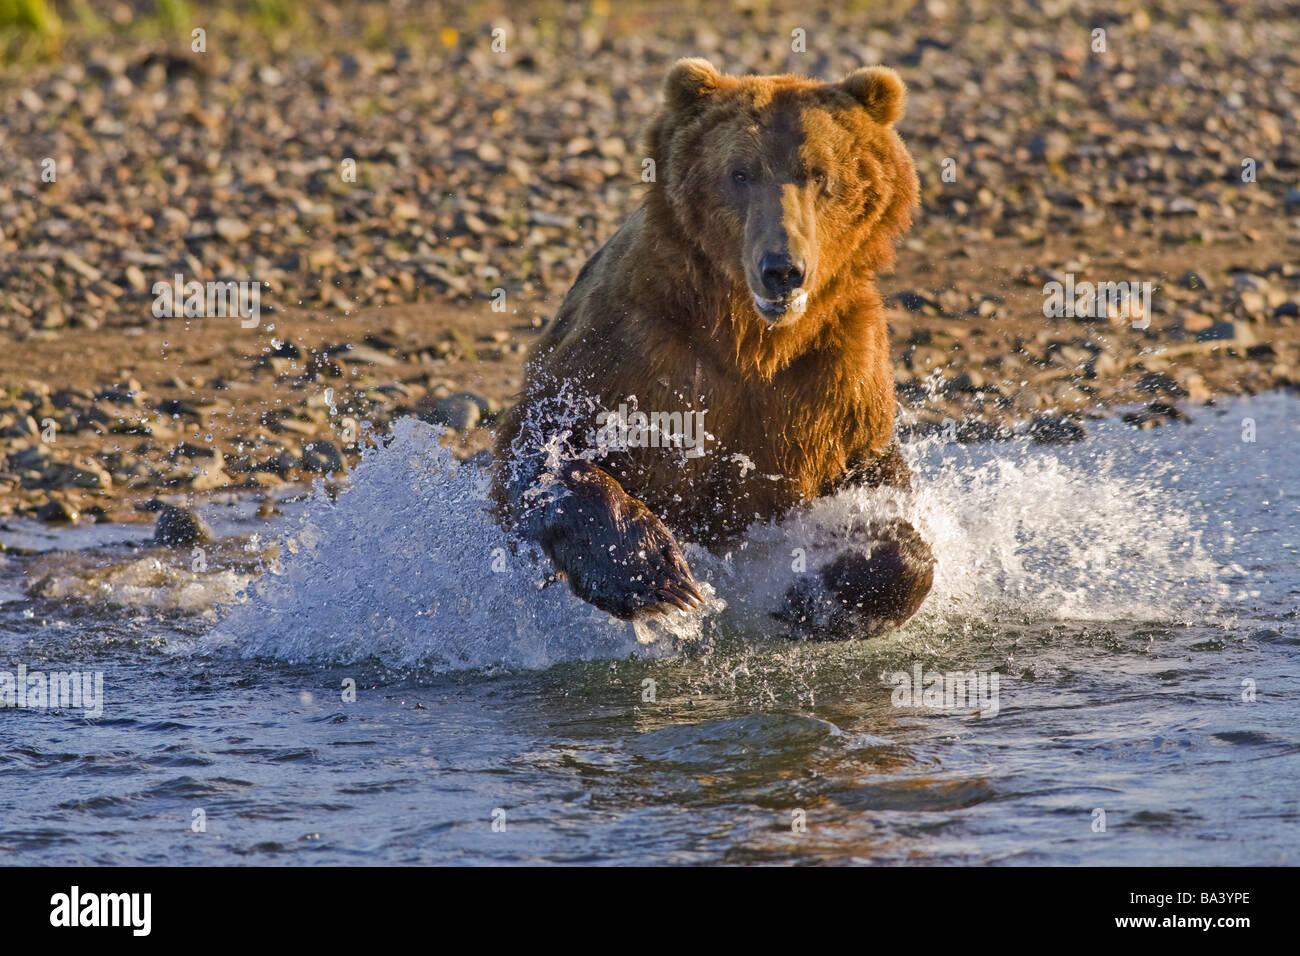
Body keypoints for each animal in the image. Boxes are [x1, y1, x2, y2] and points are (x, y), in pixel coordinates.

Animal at [493, 54, 935, 634]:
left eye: (820, 174)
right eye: (740, 172)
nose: (782, 270)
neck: (751, 339)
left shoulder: (837, 377)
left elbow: (883, 491)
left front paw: (815, 595)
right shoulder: (635, 344)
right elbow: (541, 449)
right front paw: (656, 573)